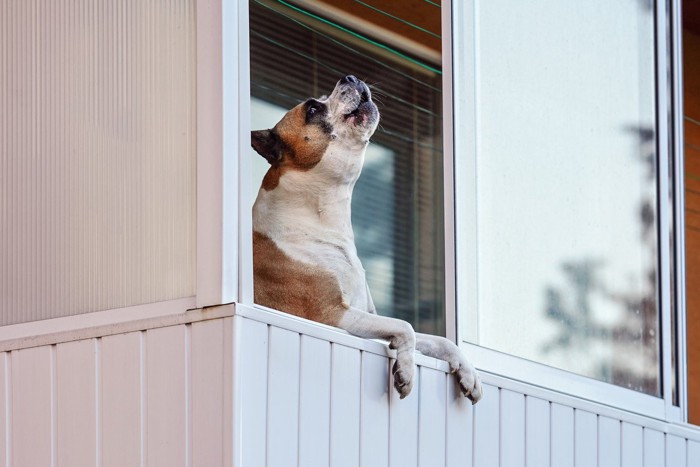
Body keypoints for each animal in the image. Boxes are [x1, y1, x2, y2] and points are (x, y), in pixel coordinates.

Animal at [250, 75, 482, 404]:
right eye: (312, 109)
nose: (350, 77)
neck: (321, 217)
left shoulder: (365, 315)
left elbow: (439, 340)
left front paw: (469, 373)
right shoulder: (333, 315)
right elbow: (406, 326)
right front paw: (406, 370)